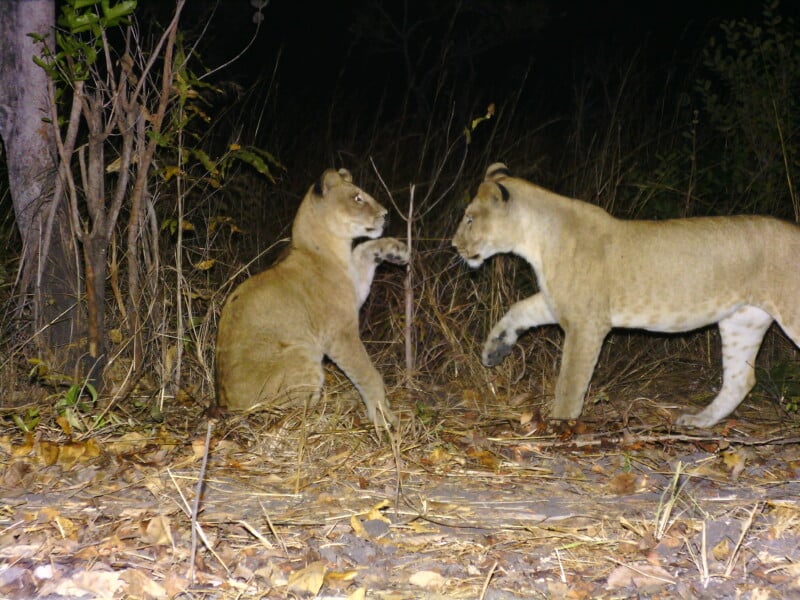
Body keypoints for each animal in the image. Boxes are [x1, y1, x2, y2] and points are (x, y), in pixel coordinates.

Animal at [215, 168, 407, 428]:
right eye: (357, 198)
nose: (386, 215)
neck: (333, 249)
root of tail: (226, 405)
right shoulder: (340, 333)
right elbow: (367, 373)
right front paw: (383, 416)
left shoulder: (355, 287)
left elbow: (363, 249)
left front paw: (396, 250)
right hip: (302, 355)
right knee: (296, 412)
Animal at [452, 162, 800, 428]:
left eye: (469, 219)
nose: (454, 245)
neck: (534, 240)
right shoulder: (560, 303)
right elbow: (519, 308)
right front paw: (494, 349)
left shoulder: (587, 323)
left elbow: (571, 381)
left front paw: (559, 424)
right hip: (743, 320)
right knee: (741, 379)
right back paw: (698, 421)